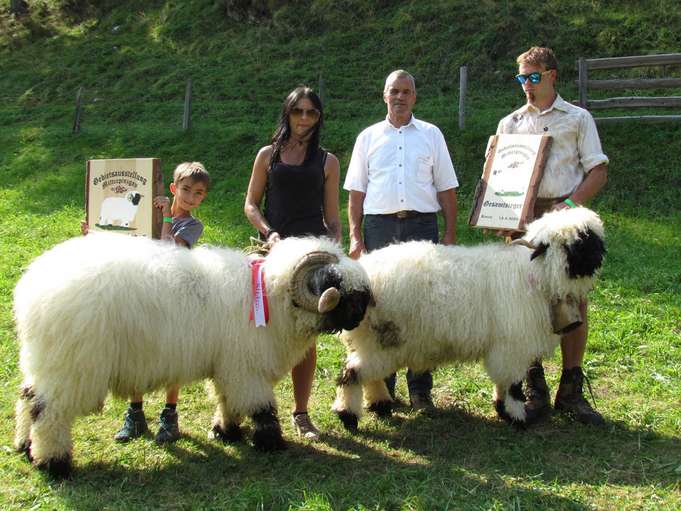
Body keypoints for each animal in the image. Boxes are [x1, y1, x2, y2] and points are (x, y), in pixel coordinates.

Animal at [11, 234, 372, 478]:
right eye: (334, 282)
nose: (363, 313)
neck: (271, 297)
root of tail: (31, 291)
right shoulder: (246, 369)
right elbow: (261, 407)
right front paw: (271, 442)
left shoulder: (228, 366)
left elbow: (227, 400)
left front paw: (227, 432)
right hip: (73, 368)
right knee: (49, 411)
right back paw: (54, 463)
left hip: (44, 361)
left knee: (28, 398)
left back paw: (25, 448)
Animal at [332, 206, 604, 430]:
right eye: (581, 242)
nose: (601, 256)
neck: (535, 272)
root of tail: (360, 277)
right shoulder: (512, 345)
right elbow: (512, 384)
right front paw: (516, 416)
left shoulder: (504, 348)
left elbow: (503, 381)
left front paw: (503, 410)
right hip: (384, 340)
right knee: (352, 373)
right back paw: (348, 416)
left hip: (375, 342)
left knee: (367, 374)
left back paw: (379, 405)